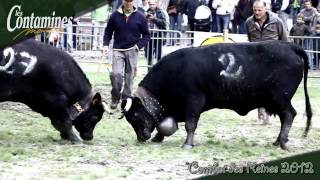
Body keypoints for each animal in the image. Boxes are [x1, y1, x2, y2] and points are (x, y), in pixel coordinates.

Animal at [122, 40, 312, 149]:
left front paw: (188, 144)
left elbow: (190, 124)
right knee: (285, 117)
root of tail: (290, 46)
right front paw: (157, 137)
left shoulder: (194, 100)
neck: (174, 71)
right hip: (275, 101)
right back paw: (278, 140)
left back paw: (282, 142)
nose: (141, 137)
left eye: (135, 115)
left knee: (289, 114)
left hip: (281, 98)